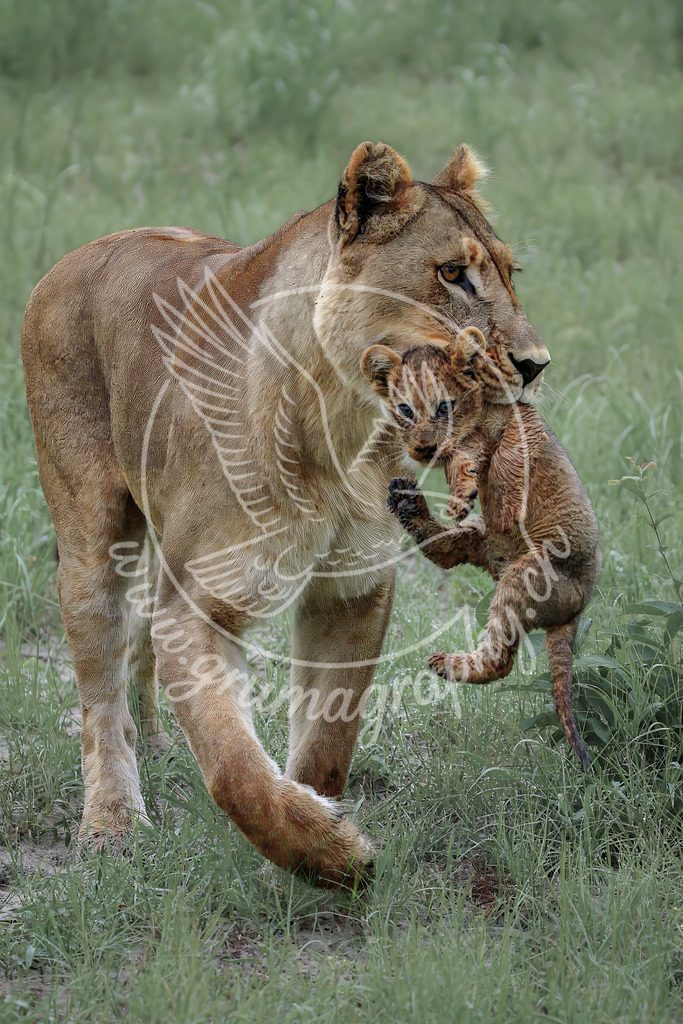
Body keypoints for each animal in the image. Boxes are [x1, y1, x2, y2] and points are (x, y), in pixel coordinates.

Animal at [21, 141, 550, 886]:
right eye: (451, 273)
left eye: (509, 273)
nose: (535, 365)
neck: (338, 425)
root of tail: (84, 251)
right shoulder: (201, 605)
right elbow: (233, 769)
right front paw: (337, 856)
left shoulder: (352, 589)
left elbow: (328, 735)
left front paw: (317, 846)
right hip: (91, 539)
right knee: (100, 695)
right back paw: (112, 824)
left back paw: (156, 747)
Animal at [362, 327, 600, 769]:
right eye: (404, 410)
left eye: (443, 407)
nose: (422, 449)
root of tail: (577, 610)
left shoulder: (490, 436)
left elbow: (463, 452)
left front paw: (460, 495)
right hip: (481, 540)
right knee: (444, 551)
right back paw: (406, 500)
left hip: (526, 575)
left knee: (499, 660)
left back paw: (449, 665)